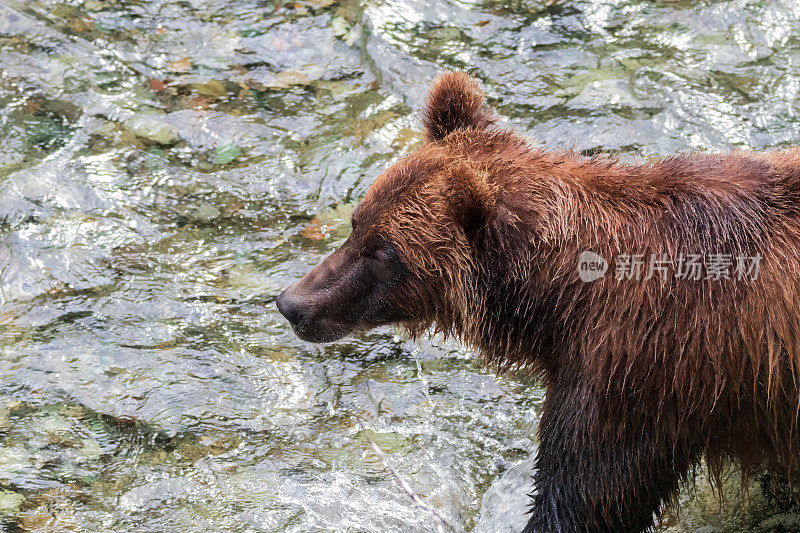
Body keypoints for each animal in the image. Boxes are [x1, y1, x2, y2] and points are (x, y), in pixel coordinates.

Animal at [276, 71, 800, 532]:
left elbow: (585, 496)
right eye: (357, 223)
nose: (292, 303)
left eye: (384, 253)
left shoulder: (635, 372)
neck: (562, 300)